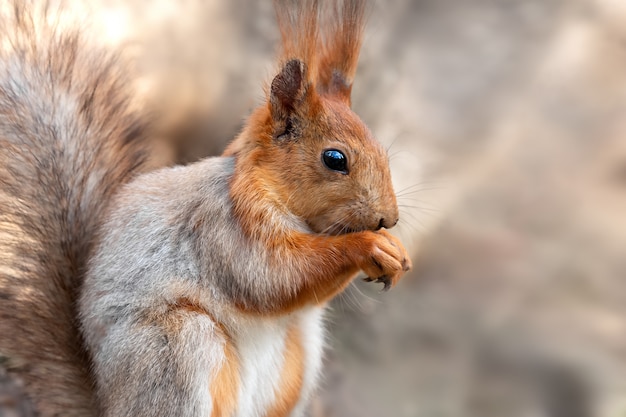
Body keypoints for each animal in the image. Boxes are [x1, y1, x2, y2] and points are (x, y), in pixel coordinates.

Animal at [0, 0, 410, 416]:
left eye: (381, 148)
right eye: (334, 158)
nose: (388, 218)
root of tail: (109, 403)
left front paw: (396, 252)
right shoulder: (219, 225)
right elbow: (271, 276)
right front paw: (369, 246)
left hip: (298, 355)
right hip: (180, 345)